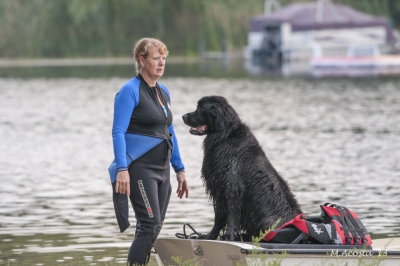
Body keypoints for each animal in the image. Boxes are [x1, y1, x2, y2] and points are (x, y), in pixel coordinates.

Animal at [183, 95, 302, 241]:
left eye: (200, 108)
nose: (183, 116)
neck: (225, 135)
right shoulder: (218, 188)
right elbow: (218, 217)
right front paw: (210, 235)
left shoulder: (231, 187)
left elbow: (231, 215)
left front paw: (228, 236)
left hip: (268, 221)